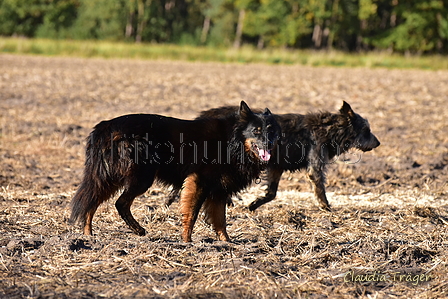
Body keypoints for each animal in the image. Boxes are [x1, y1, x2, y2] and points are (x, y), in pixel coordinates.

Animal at [69, 102, 280, 243]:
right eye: (256, 130)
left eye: (271, 130)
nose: (269, 143)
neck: (231, 140)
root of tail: (105, 125)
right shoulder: (199, 181)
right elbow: (192, 214)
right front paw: (187, 242)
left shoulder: (219, 190)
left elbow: (220, 220)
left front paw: (227, 243)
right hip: (140, 178)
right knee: (119, 203)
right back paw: (137, 230)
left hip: (109, 177)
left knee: (91, 202)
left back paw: (88, 236)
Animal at [193, 102, 382, 212]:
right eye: (367, 130)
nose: (378, 142)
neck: (329, 129)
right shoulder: (315, 168)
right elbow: (320, 189)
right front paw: (326, 208)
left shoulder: (276, 167)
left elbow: (271, 193)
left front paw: (254, 204)